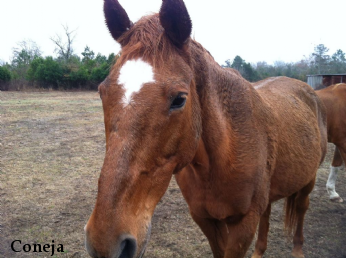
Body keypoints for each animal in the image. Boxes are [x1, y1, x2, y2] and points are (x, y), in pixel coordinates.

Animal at [84, 0, 328, 258]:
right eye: (102, 92)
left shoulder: (244, 224)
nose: (104, 242)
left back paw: (298, 249)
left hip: (308, 181)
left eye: (180, 99)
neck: (221, 158)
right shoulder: (205, 219)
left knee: (301, 208)